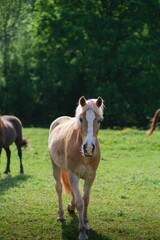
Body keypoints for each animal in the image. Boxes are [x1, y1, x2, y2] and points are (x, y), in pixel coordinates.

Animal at [48, 96, 104, 240]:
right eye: (81, 119)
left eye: (99, 120)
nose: (89, 148)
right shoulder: (74, 175)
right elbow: (80, 202)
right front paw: (82, 232)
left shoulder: (90, 176)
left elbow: (86, 199)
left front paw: (86, 223)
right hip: (55, 166)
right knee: (59, 188)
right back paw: (61, 215)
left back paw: (70, 207)